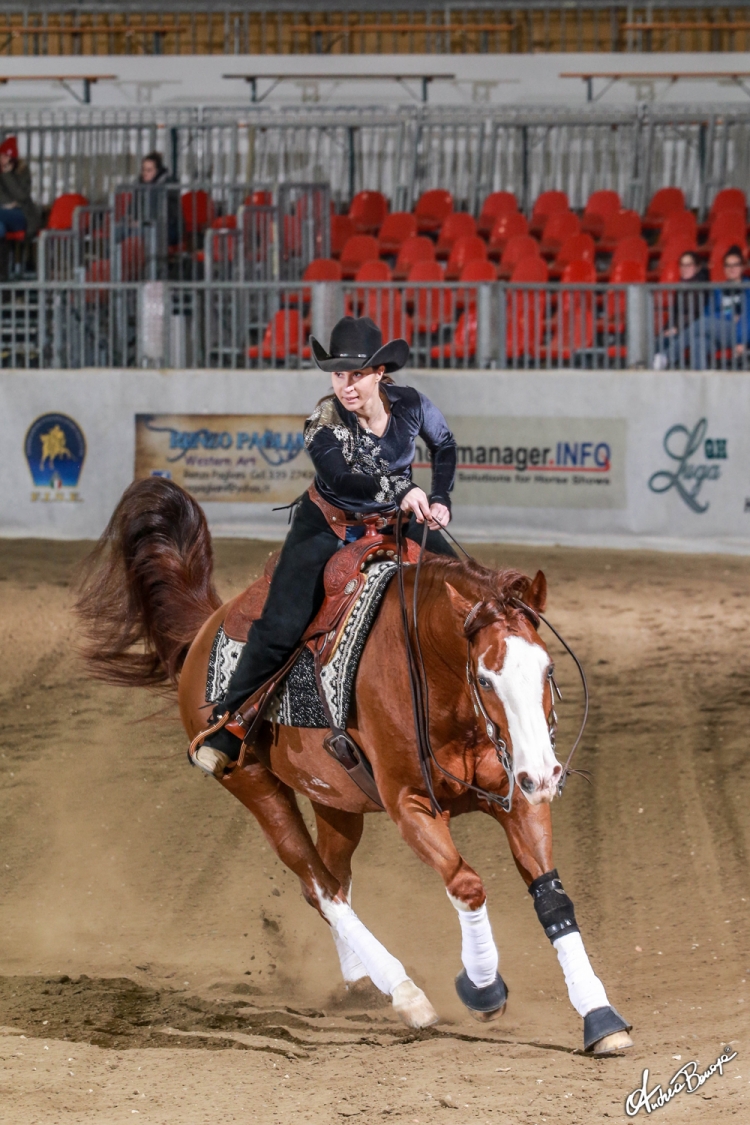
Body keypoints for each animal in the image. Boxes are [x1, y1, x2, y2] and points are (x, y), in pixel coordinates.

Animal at [76, 481, 629, 1053]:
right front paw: (481, 988)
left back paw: (363, 981)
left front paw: (600, 1016)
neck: (433, 677)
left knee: (331, 882)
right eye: (484, 678)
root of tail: (206, 627)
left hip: (335, 802)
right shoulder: (410, 804)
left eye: (548, 668)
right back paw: (406, 994)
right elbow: (467, 883)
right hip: (254, 785)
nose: (545, 774)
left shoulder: (516, 797)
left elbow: (553, 899)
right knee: (318, 884)